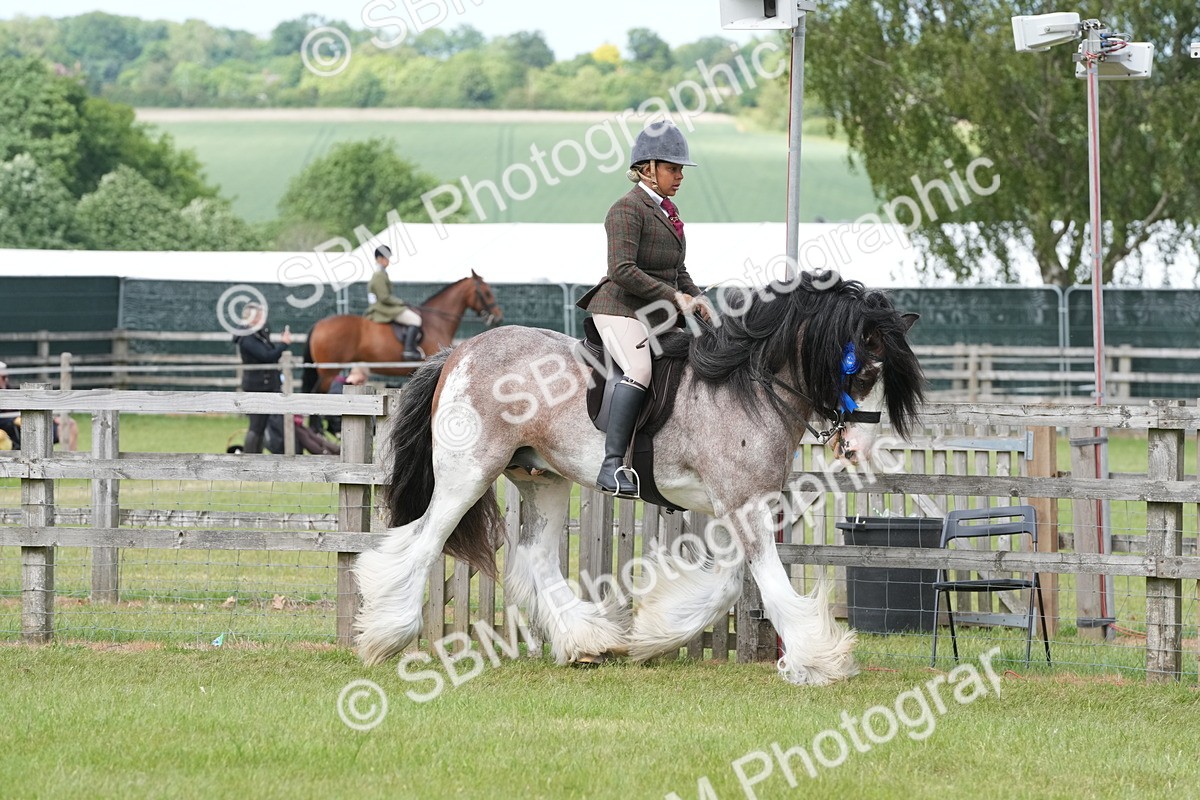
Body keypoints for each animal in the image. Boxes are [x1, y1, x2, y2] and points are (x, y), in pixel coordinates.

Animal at [354, 273, 925, 685]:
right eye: (864, 373)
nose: (858, 449)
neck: (749, 384)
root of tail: (462, 350)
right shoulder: (742, 505)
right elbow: (771, 585)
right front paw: (818, 660)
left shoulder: (737, 506)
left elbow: (727, 586)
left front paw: (655, 634)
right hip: (467, 473)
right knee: (423, 543)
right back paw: (386, 636)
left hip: (543, 477)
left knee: (534, 556)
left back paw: (587, 642)